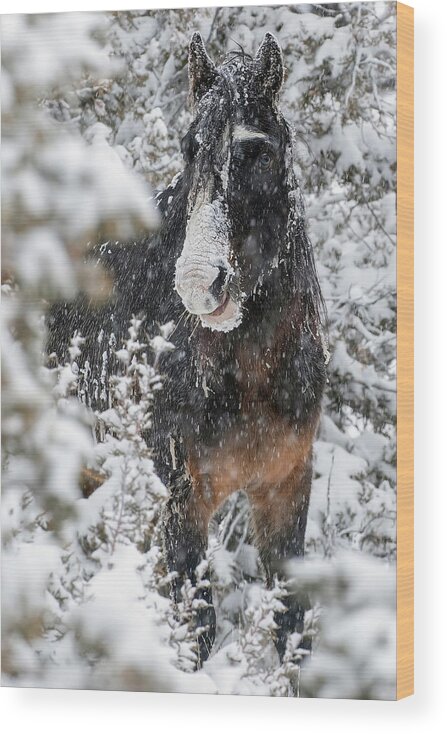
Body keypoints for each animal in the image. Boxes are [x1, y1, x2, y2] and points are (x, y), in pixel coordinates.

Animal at [48, 33, 326, 668]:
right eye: (188, 147)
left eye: (260, 153)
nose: (201, 283)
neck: (247, 371)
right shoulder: (181, 496)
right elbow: (194, 627)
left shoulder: (287, 487)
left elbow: (288, 627)